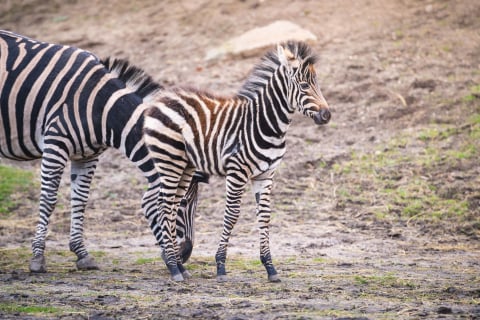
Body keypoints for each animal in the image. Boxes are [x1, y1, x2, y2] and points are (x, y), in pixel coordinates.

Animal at [0, 30, 202, 272]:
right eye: (182, 204)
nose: (187, 254)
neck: (102, 108)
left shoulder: (88, 155)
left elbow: (81, 198)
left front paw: (82, 254)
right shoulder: (55, 143)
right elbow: (49, 199)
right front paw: (38, 257)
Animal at [143, 40, 330, 282]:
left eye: (317, 84)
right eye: (305, 86)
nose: (327, 115)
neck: (267, 124)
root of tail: (162, 97)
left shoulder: (265, 175)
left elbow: (265, 217)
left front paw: (270, 268)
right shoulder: (237, 171)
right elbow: (232, 216)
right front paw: (221, 266)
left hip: (185, 165)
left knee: (172, 206)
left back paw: (179, 266)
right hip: (169, 160)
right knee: (163, 205)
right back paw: (174, 268)